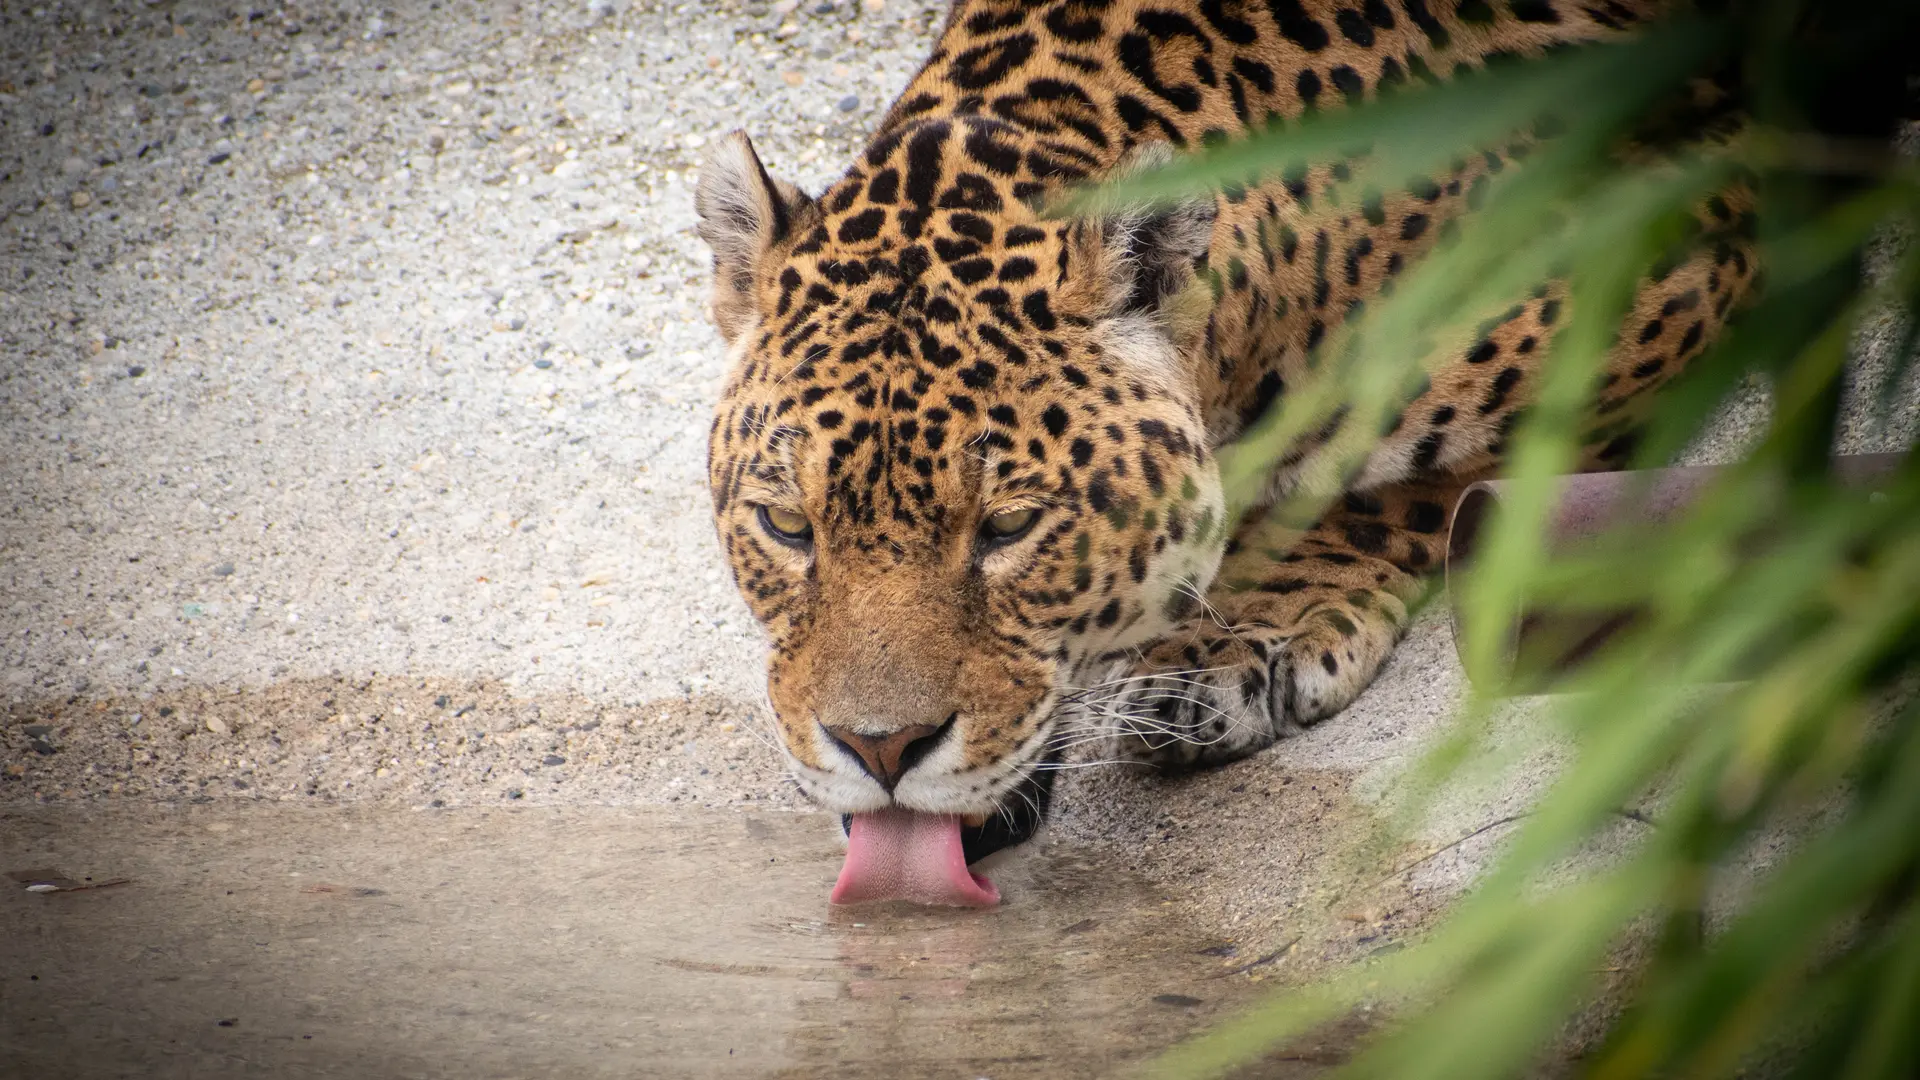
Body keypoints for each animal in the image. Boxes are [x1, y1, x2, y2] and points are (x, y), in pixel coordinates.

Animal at [695, 0, 1757, 863]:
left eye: (1007, 529)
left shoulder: (1671, 250)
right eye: (787, 527)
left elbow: (1400, 477)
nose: (879, 749)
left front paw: (1233, 643)